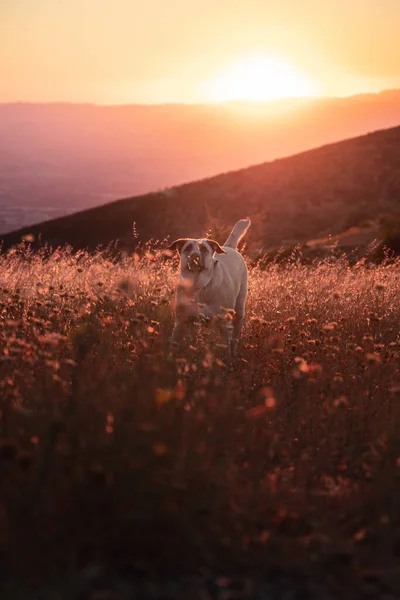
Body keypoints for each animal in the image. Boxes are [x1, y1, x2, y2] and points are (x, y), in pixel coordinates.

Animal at [168, 219, 250, 364]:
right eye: (188, 248)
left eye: (204, 249)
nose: (194, 256)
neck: (199, 286)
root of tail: (229, 247)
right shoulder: (181, 322)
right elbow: (174, 343)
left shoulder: (223, 324)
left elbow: (226, 349)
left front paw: (228, 365)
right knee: (193, 337)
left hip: (239, 311)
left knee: (234, 338)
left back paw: (234, 354)